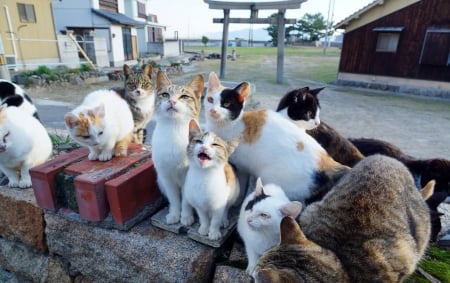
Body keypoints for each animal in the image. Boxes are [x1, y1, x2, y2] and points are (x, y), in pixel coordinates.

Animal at [152, 71, 205, 226]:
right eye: (165, 95)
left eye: (184, 97)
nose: (172, 101)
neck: (173, 128)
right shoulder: (165, 176)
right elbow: (174, 199)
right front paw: (175, 214)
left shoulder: (188, 177)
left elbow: (186, 201)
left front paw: (186, 217)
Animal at [203, 72, 348, 206]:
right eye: (210, 99)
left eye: (226, 104)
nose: (212, 111)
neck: (229, 125)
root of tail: (329, 163)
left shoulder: (242, 167)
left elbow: (242, 184)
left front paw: (237, 201)